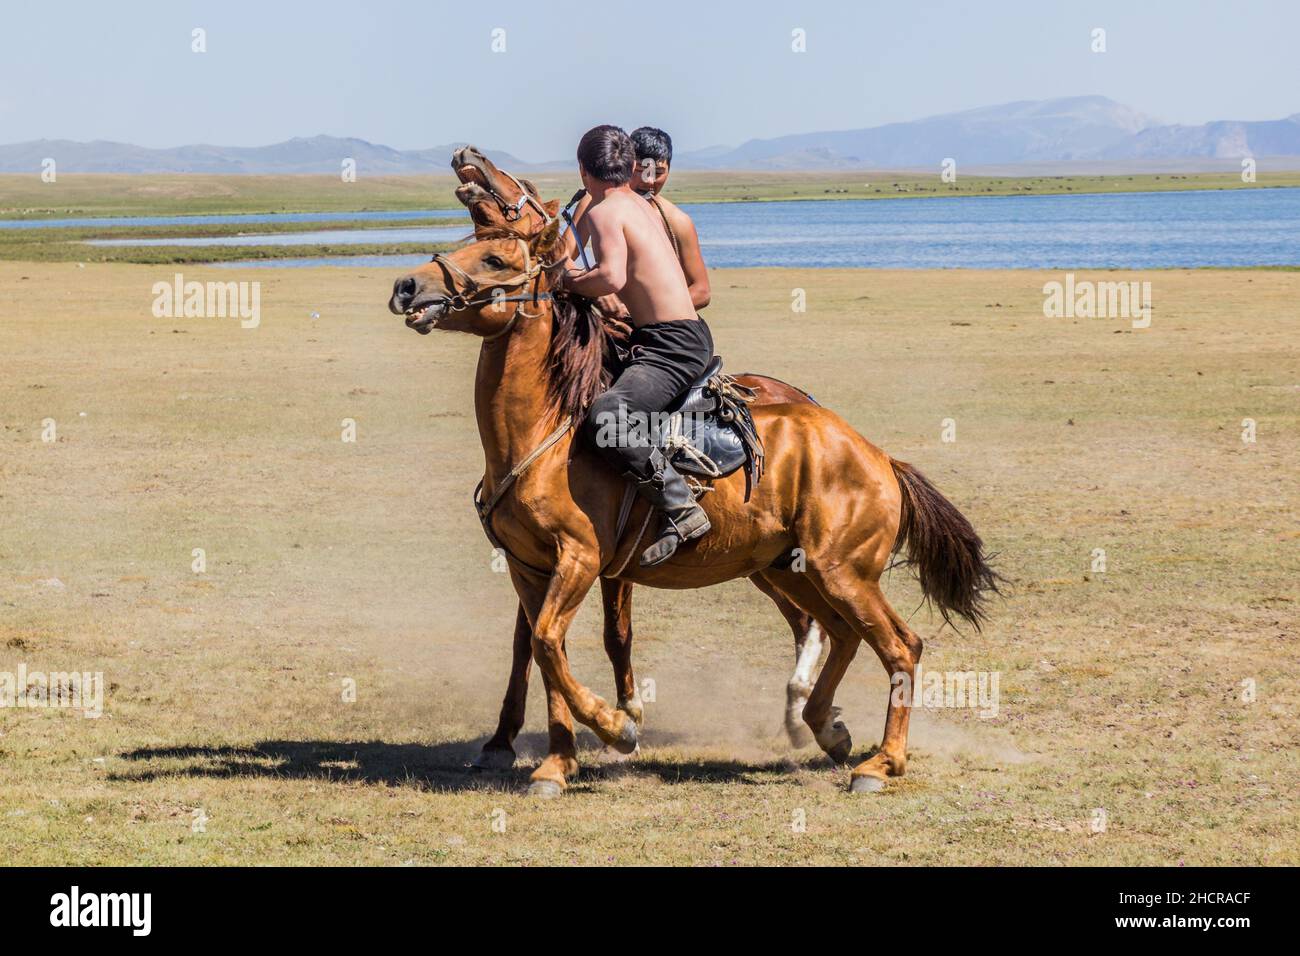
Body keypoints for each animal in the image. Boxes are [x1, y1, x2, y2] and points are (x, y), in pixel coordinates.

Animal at [384, 221, 993, 796]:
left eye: (493, 258)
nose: (406, 285)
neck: (543, 435)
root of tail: (879, 456)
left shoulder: (580, 560)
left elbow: (550, 644)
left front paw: (618, 728)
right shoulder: (529, 568)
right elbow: (543, 653)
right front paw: (556, 765)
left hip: (842, 570)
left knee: (898, 645)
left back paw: (880, 763)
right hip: (790, 568)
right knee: (841, 633)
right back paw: (827, 728)